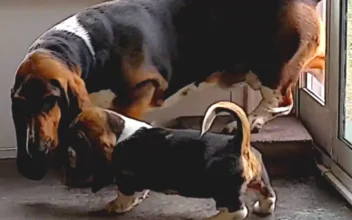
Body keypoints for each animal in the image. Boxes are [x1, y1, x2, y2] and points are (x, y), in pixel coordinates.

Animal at [68, 101, 276, 218]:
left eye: (77, 139)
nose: (68, 156)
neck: (120, 132)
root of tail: (237, 142)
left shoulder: (126, 180)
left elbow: (124, 195)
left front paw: (116, 206)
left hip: (225, 192)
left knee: (238, 212)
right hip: (259, 180)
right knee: (269, 196)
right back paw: (263, 208)